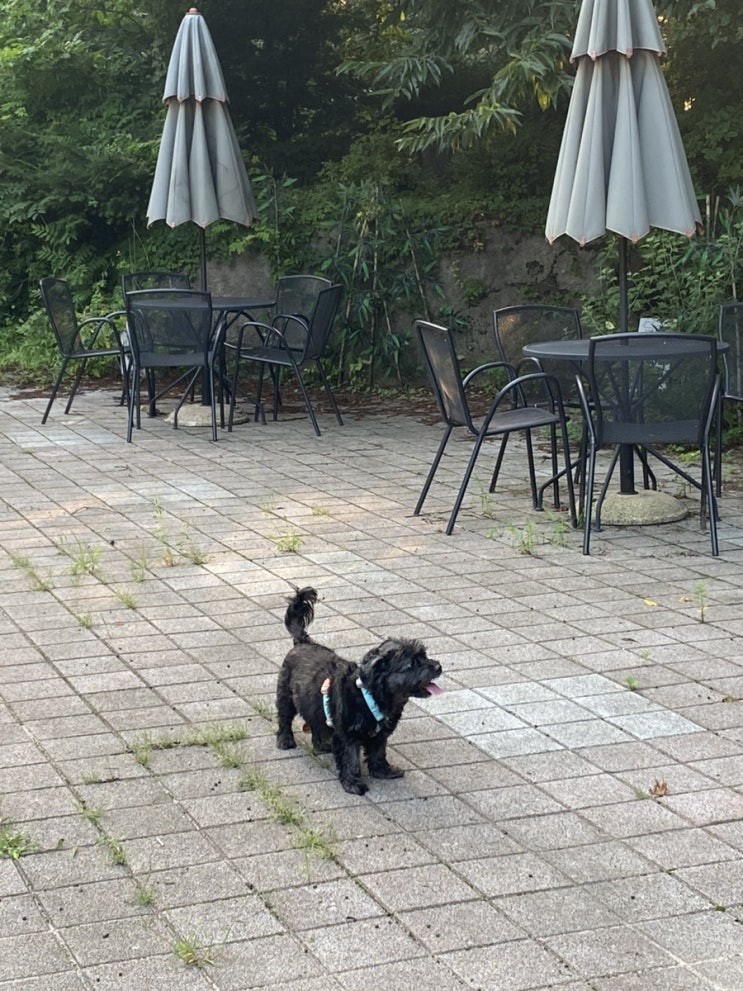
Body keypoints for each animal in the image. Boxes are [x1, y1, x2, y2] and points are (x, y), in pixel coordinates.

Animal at [275, 586, 442, 795]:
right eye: (410, 665)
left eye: (424, 656)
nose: (438, 667)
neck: (371, 697)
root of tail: (302, 642)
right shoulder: (347, 735)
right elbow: (350, 759)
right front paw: (352, 782)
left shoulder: (380, 734)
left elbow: (378, 752)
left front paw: (382, 771)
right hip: (286, 695)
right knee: (284, 717)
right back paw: (285, 740)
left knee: (314, 721)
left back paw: (321, 744)